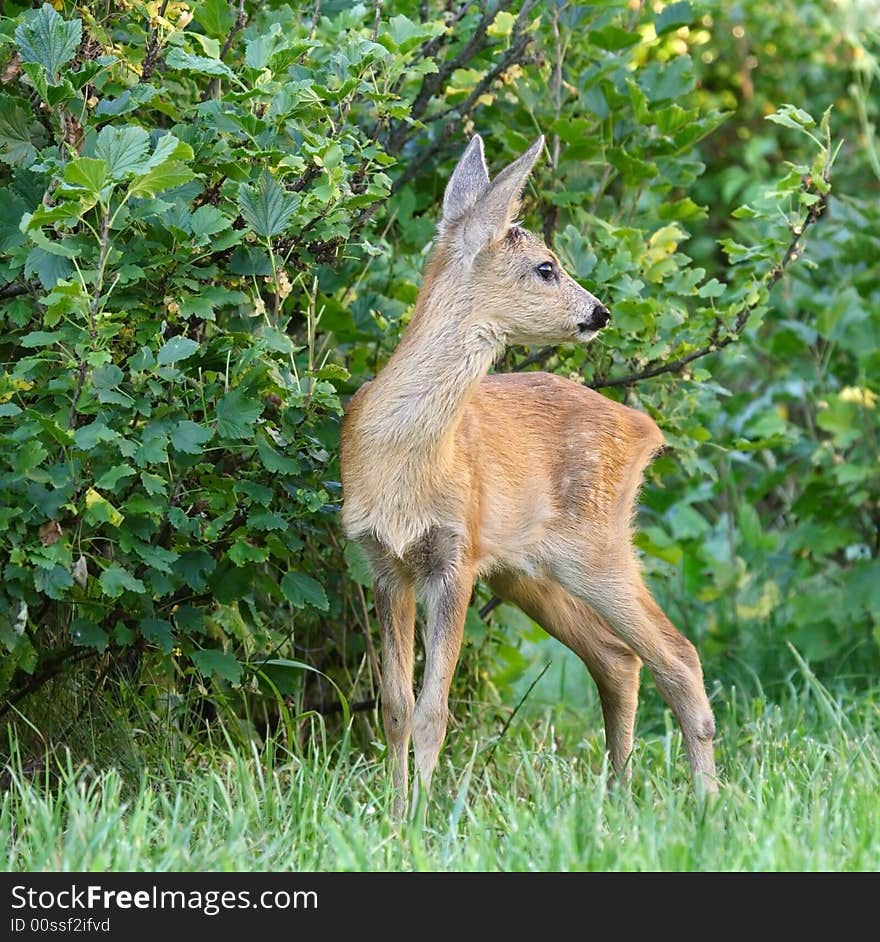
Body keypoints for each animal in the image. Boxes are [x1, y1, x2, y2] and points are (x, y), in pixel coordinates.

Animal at [336, 135, 716, 820]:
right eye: (545, 267)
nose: (600, 311)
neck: (402, 457)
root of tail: (646, 429)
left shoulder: (455, 556)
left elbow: (434, 710)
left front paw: (425, 816)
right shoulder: (382, 562)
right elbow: (395, 707)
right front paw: (397, 813)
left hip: (594, 549)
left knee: (678, 653)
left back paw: (706, 805)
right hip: (528, 571)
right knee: (619, 658)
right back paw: (618, 798)